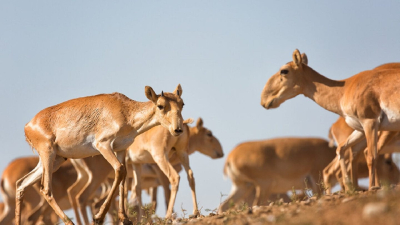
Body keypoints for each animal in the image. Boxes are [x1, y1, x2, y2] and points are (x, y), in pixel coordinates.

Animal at [16, 85, 184, 225]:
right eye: (160, 105)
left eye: (182, 103)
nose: (178, 130)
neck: (125, 110)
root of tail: (28, 126)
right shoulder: (103, 145)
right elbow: (120, 170)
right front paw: (98, 217)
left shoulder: (121, 149)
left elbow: (124, 176)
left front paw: (125, 218)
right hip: (49, 155)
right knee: (46, 189)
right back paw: (70, 222)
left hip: (56, 160)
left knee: (21, 183)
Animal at [260, 48, 398, 190]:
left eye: (284, 70)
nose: (264, 100)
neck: (345, 89)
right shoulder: (361, 128)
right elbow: (341, 149)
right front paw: (350, 186)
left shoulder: (370, 122)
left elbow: (371, 156)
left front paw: (371, 187)